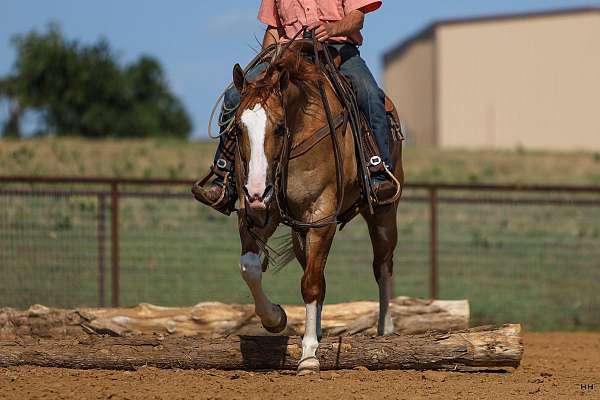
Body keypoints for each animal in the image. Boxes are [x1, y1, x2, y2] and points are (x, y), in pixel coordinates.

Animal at [230, 43, 404, 376]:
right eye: (237, 130)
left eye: (280, 127)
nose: (256, 191)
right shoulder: (257, 214)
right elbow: (250, 267)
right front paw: (276, 318)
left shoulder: (321, 217)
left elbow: (310, 285)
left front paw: (309, 356)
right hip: (300, 232)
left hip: (384, 214)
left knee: (383, 265)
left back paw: (385, 329)